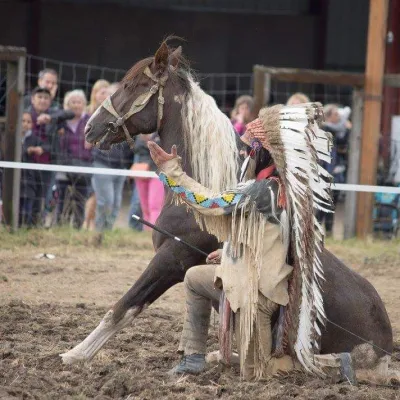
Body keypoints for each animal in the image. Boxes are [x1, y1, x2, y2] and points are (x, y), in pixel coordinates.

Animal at [61, 39, 396, 382]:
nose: (90, 128)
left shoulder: (172, 258)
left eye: (131, 85)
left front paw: (76, 354)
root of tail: (385, 350)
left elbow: (125, 305)